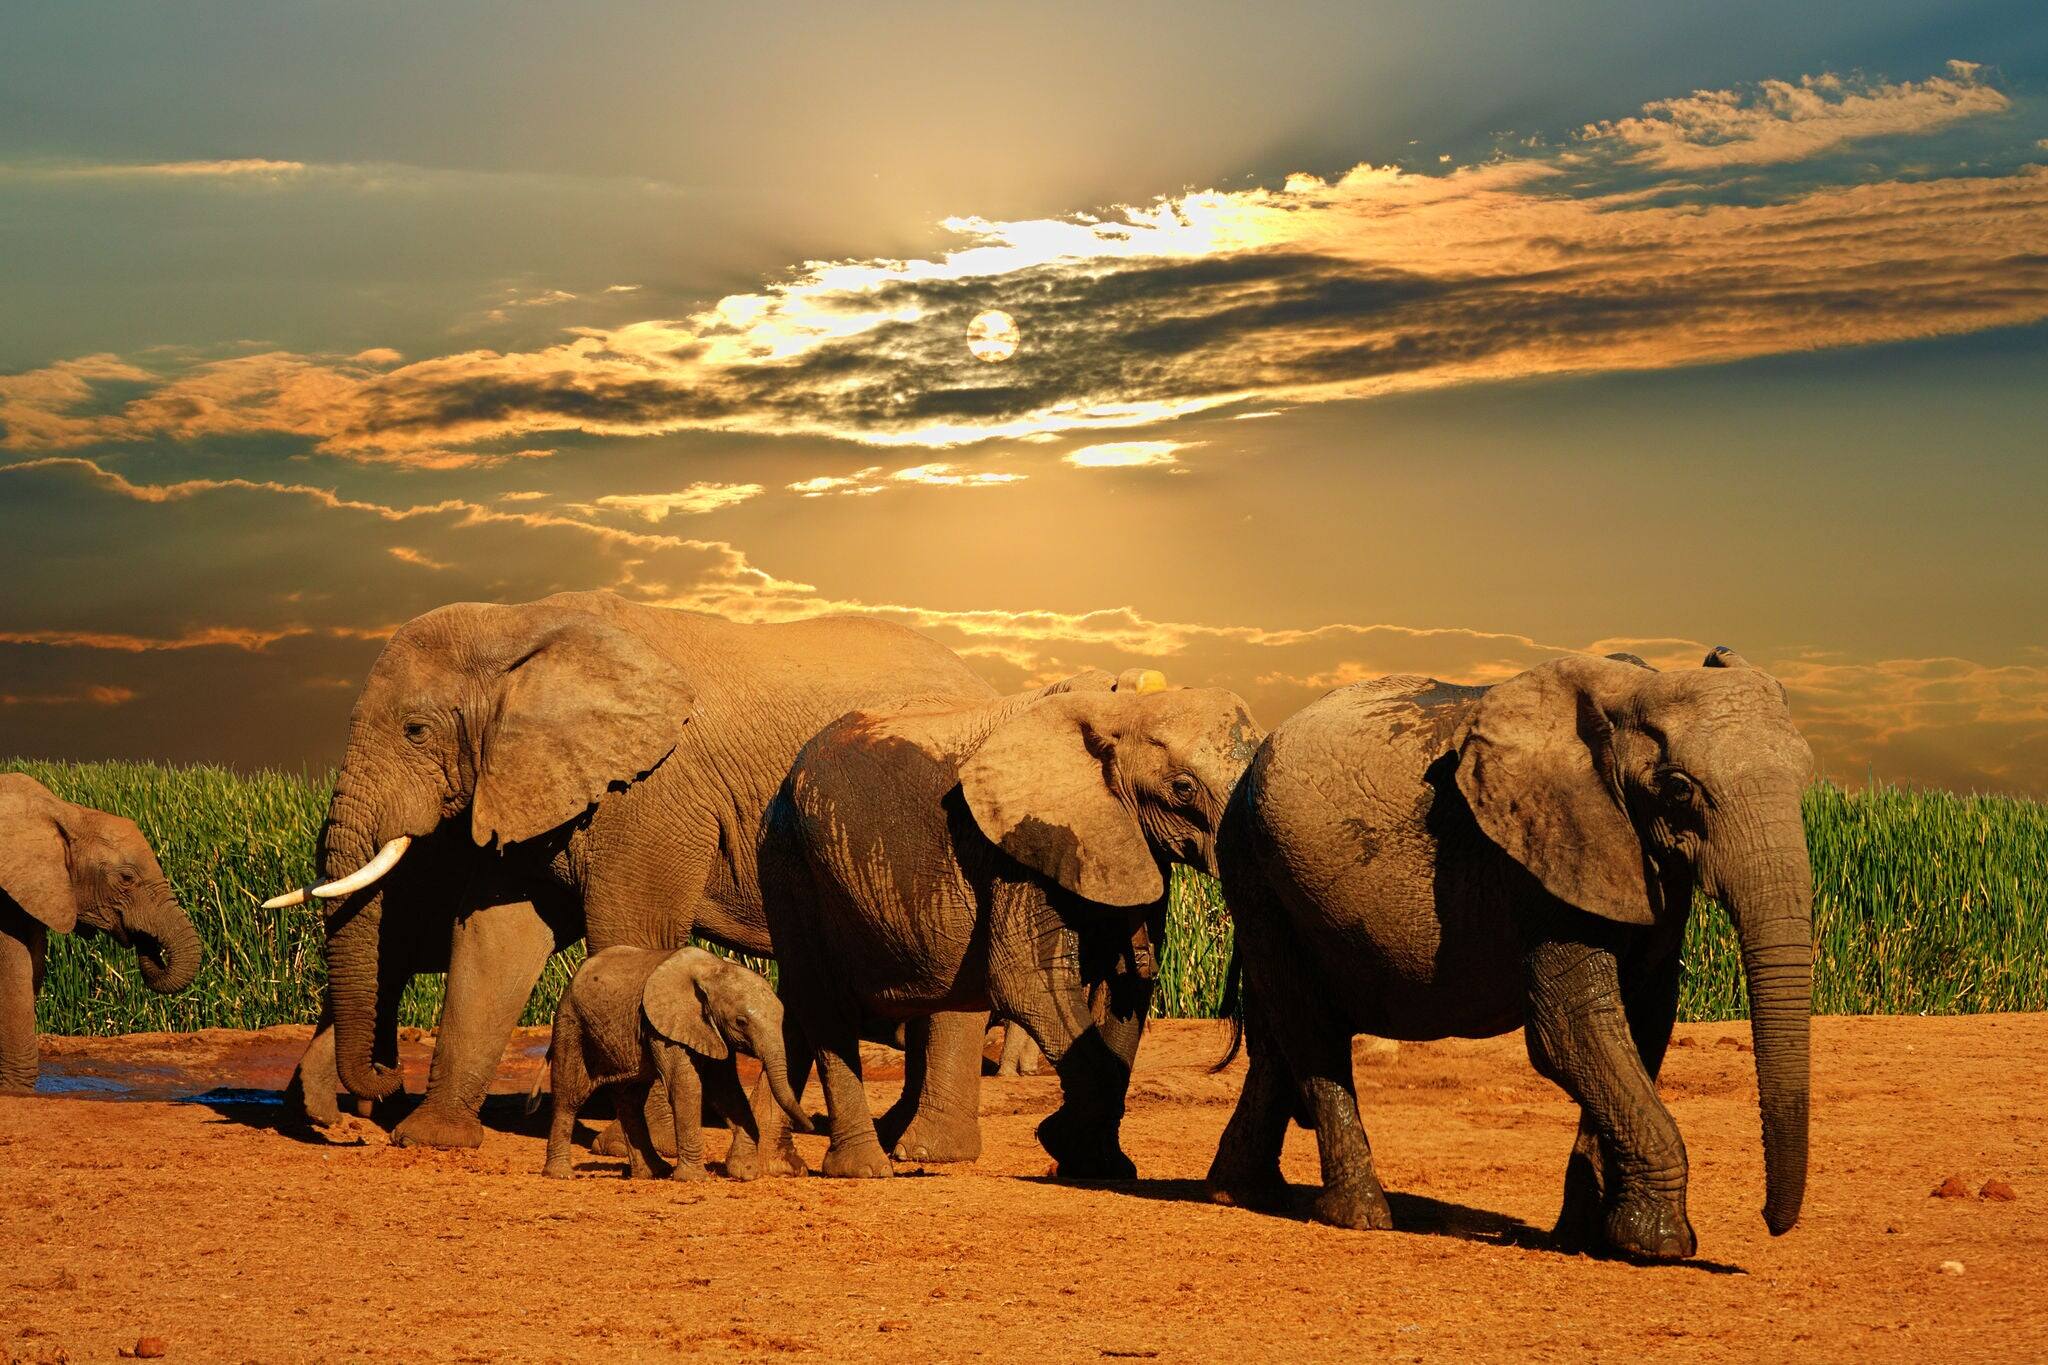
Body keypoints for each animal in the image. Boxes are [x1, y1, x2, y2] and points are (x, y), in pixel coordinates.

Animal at [1, 773, 202, 1092]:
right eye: (126, 878)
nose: (147, 943)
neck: (64, 811)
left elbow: (32, 967)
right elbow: (14, 972)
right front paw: (15, 1092)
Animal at [537, 945, 809, 1180]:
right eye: (741, 1021)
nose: (810, 1124)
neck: (713, 971)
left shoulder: (711, 1032)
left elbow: (726, 1090)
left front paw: (746, 1172)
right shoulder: (664, 1026)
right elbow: (686, 1086)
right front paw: (694, 1179)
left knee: (630, 1099)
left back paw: (654, 1172)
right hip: (571, 1024)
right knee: (570, 1095)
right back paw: (561, 1174)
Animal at [765, 672, 1262, 1179]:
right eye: (1183, 789)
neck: (1123, 710)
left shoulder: (1128, 842)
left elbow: (1127, 986)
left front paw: (1098, 1164)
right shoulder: (1017, 845)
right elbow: (1028, 982)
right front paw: (1060, 1140)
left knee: (799, 1007)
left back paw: (778, 1164)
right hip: (790, 863)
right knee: (824, 1006)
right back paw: (863, 1169)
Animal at [1205, 648, 1814, 1262]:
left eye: (1806, 777)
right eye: (1680, 789)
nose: (1770, 1222)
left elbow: (1643, 1024)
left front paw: (1586, 1238)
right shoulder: (1543, 854)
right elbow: (1570, 1031)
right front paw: (1657, 1245)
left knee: (1277, 1038)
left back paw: (1242, 1194)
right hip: (1256, 870)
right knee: (1310, 1030)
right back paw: (1359, 1216)